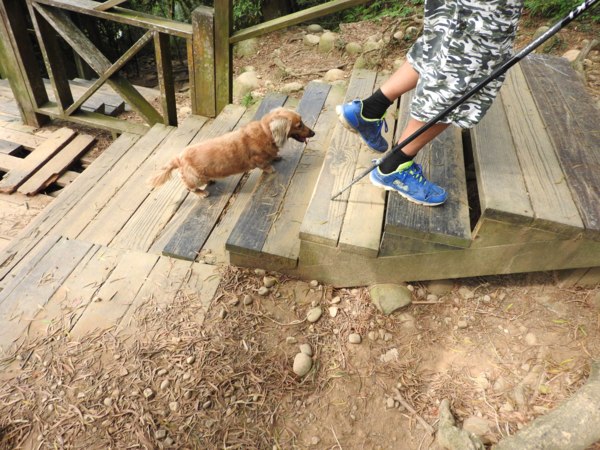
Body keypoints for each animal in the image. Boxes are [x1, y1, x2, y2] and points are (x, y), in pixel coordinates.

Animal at [149, 107, 315, 197]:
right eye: (299, 125)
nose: (313, 133)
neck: (265, 132)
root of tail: (179, 158)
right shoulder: (258, 160)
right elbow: (265, 165)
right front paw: (271, 168)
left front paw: (276, 157)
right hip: (195, 179)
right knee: (189, 187)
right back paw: (202, 193)